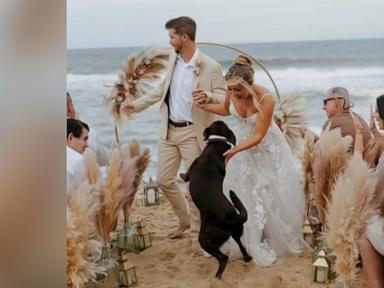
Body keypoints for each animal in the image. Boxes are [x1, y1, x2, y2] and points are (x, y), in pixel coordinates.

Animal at [183, 120, 252, 278]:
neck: (217, 144)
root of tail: (233, 218)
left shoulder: (192, 167)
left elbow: (185, 176)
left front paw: (181, 175)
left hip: (205, 239)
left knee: (223, 258)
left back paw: (217, 277)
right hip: (235, 233)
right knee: (242, 247)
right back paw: (247, 258)